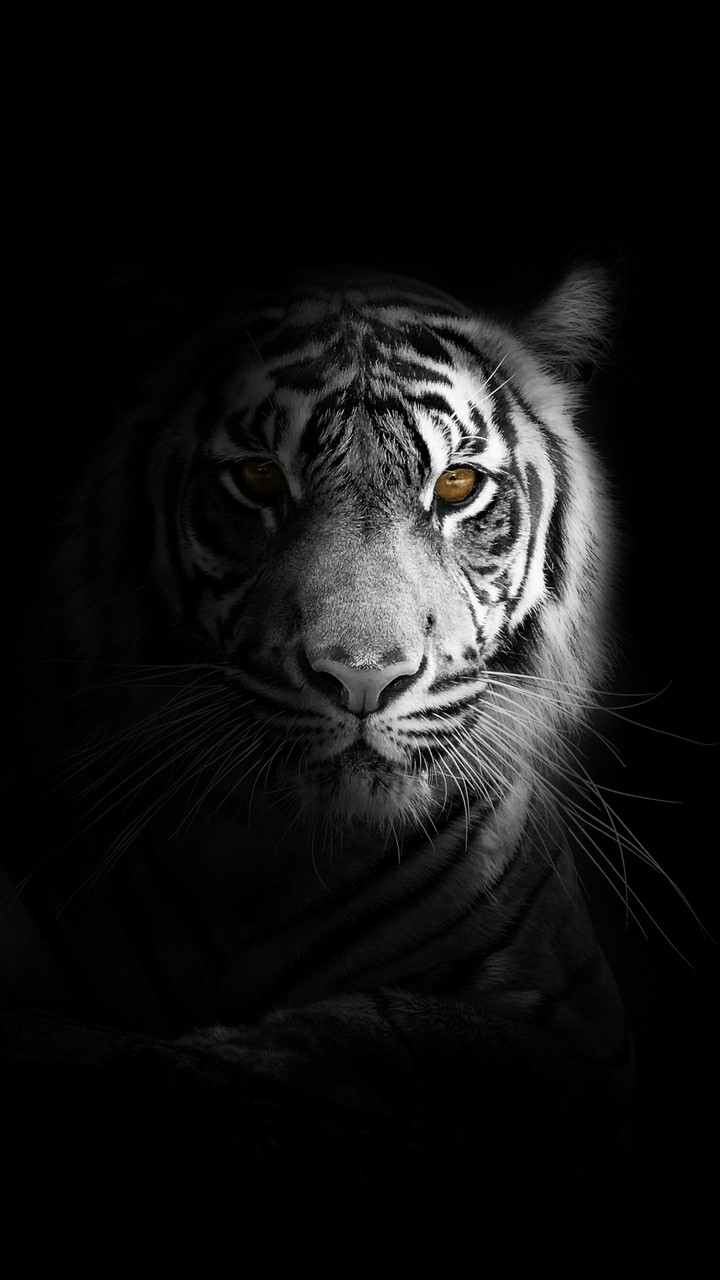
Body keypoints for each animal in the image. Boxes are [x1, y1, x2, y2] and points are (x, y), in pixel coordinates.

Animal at [2, 260, 635, 1145]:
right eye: (259, 477)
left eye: (457, 485)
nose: (362, 677)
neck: (268, 854)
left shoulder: (581, 1037)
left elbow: (403, 1033)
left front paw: (223, 1059)